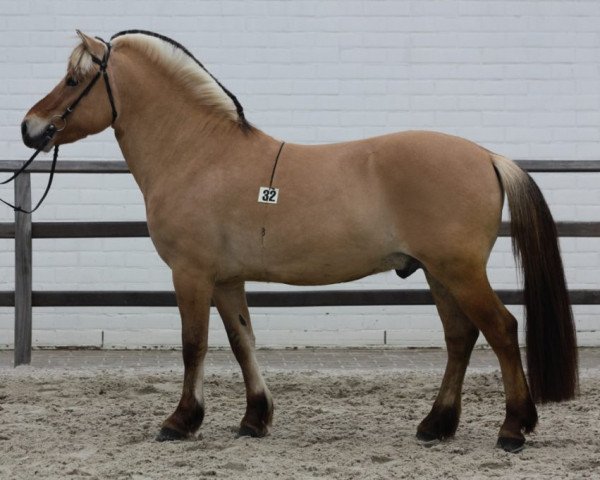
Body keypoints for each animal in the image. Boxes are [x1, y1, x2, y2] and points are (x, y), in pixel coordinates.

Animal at [21, 31, 580, 454]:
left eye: (73, 80)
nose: (30, 128)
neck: (199, 154)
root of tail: (487, 156)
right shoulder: (227, 280)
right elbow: (242, 342)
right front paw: (254, 418)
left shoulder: (192, 274)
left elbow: (193, 345)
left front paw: (181, 421)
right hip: (440, 274)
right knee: (461, 337)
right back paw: (435, 425)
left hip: (460, 271)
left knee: (502, 330)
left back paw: (513, 428)